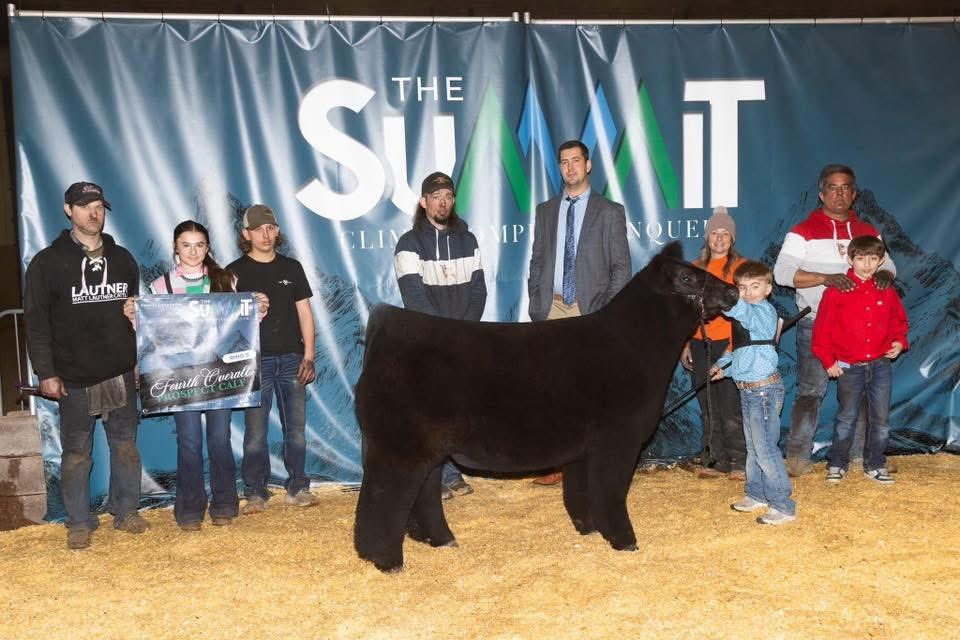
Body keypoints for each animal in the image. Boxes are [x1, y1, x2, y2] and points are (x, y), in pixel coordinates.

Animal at [354, 242, 740, 572]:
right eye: (688, 278)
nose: (734, 291)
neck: (634, 345)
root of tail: (385, 323)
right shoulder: (619, 440)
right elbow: (611, 491)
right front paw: (625, 540)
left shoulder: (586, 447)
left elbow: (581, 492)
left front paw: (589, 528)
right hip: (399, 448)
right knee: (382, 500)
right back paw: (386, 560)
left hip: (425, 449)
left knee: (424, 493)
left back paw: (440, 539)